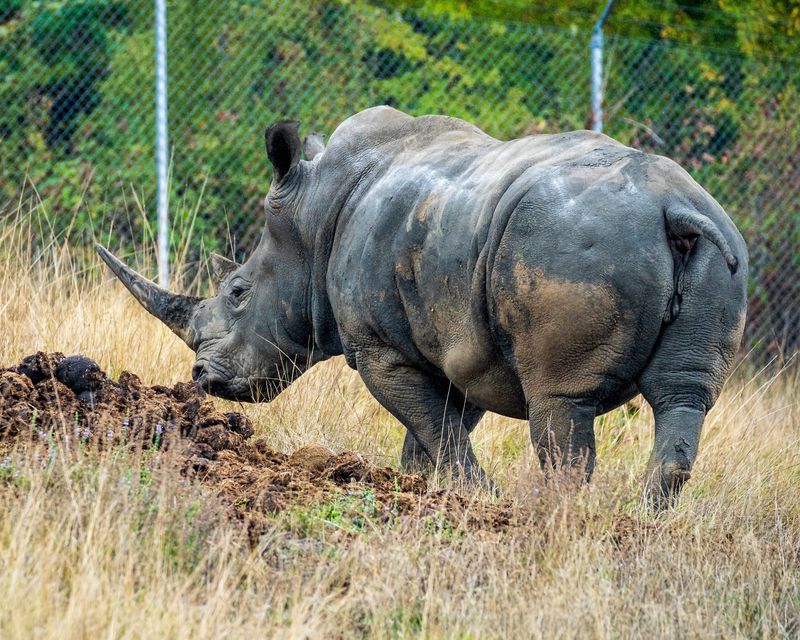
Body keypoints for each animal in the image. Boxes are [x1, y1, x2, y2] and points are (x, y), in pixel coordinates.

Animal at [97, 106, 748, 503]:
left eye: (237, 293)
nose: (201, 378)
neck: (315, 215)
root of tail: (671, 206)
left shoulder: (380, 347)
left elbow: (436, 429)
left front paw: (478, 501)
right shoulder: (468, 344)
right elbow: (436, 431)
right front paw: (426, 492)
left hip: (569, 246)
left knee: (561, 398)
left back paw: (553, 515)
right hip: (715, 249)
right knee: (682, 394)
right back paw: (643, 520)